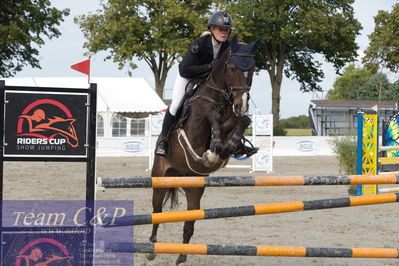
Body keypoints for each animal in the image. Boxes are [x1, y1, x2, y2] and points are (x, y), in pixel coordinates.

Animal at [148, 35, 260, 264]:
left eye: (252, 69)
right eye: (232, 68)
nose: (242, 104)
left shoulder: (233, 118)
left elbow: (242, 122)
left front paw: (226, 147)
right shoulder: (196, 129)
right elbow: (212, 115)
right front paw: (214, 149)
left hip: (194, 186)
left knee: (189, 223)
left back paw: (181, 256)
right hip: (161, 178)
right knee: (157, 211)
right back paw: (151, 249)